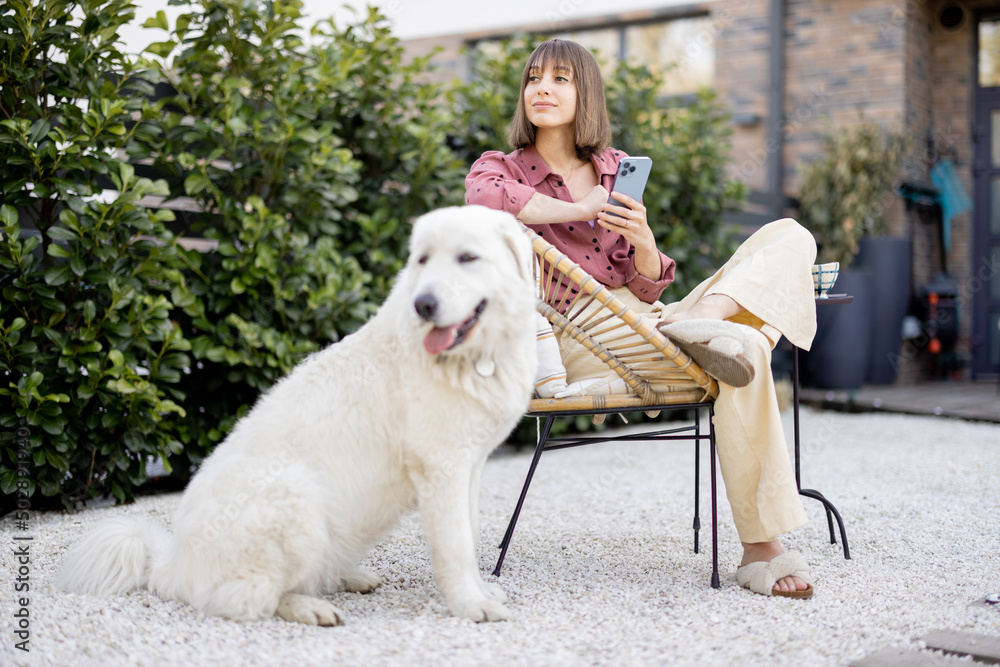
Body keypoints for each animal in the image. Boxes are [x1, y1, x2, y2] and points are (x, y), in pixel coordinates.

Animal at [56, 207, 540, 628]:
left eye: (467, 258)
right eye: (422, 260)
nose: (424, 304)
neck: (473, 358)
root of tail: (171, 564)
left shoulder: (468, 466)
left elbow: (470, 534)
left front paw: (480, 592)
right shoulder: (441, 468)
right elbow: (456, 545)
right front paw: (471, 606)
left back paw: (349, 577)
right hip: (295, 496)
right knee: (247, 600)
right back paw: (310, 607)